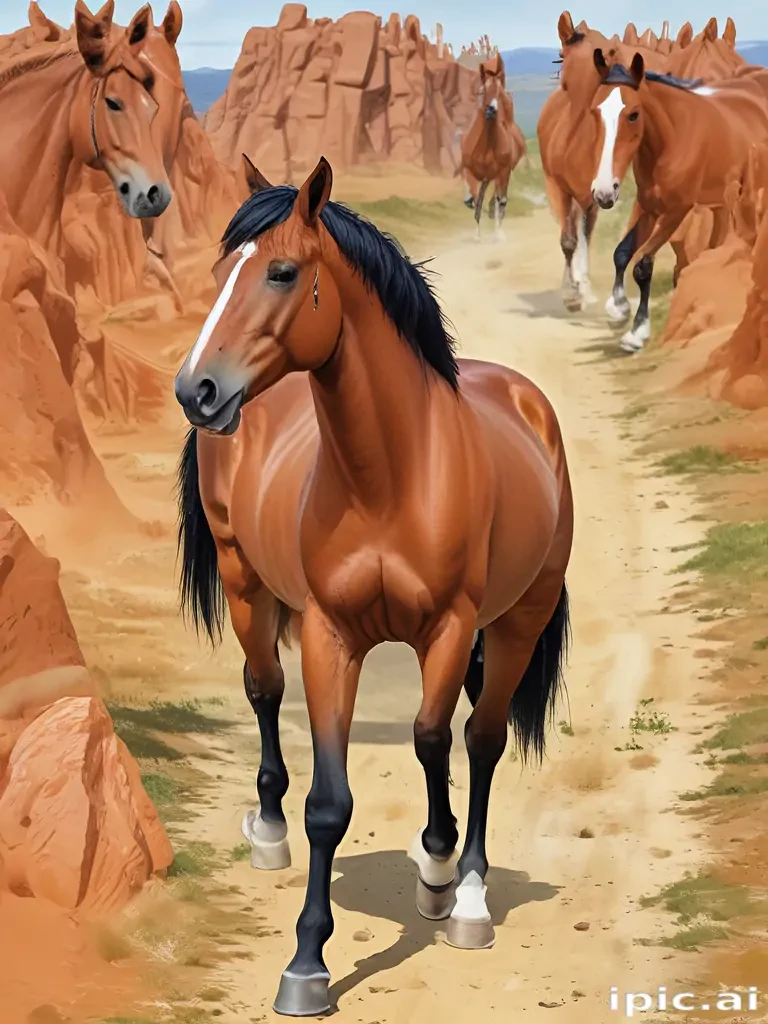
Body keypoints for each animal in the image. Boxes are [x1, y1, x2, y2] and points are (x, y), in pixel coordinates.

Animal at [173, 156, 573, 1017]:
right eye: (221, 274)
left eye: (283, 272)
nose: (198, 392)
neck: (391, 475)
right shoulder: (331, 635)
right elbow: (330, 803)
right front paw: (306, 965)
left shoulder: (454, 628)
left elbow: (437, 738)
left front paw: (445, 874)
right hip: (245, 580)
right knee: (264, 687)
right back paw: (269, 830)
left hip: (517, 621)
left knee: (480, 738)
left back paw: (464, 893)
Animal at [460, 52, 525, 239]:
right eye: (482, 91)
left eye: (500, 93)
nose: (491, 110)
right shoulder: (470, 171)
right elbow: (476, 201)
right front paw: (477, 234)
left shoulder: (502, 172)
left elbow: (499, 201)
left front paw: (497, 234)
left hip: (502, 174)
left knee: (499, 199)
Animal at [589, 51, 768, 352]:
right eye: (594, 111)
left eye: (633, 114)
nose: (603, 193)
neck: (672, 138)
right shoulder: (649, 208)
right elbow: (622, 253)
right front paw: (619, 308)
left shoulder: (676, 211)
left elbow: (643, 266)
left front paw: (637, 332)